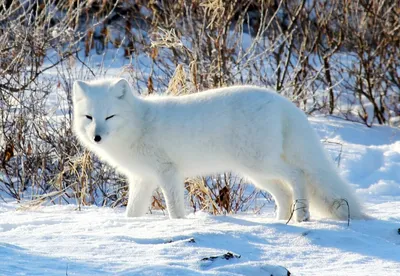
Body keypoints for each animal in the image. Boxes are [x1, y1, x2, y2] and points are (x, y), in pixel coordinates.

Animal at [72, 78, 366, 222]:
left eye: (110, 116)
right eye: (89, 117)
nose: (97, 137)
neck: (139, 124)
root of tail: (283, 102)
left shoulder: (168, 172)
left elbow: (174, 207)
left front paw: (178, 225)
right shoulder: (143, 178)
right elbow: (132, 212)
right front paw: (129, 226)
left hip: (260, 164)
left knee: (298, 175)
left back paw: (302, 215)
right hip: (256, 173)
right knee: (284, 192)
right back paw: (278, 223)